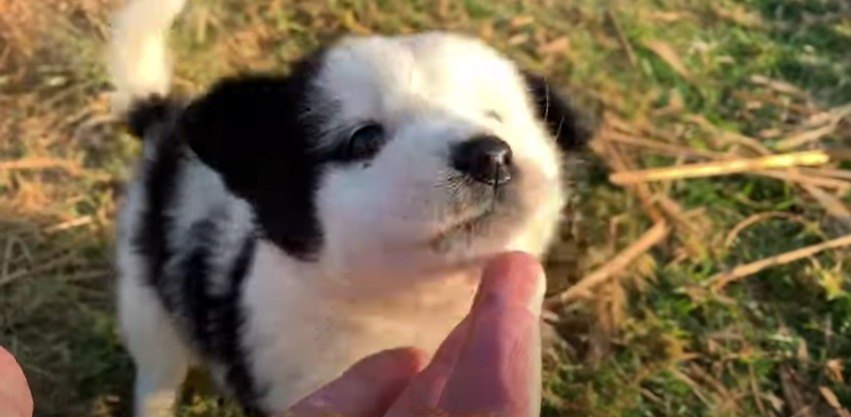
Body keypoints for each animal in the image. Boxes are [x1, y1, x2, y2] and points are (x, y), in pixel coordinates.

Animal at [110, 0, 592, 414]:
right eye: (364, 138)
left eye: (496, 117)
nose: (490, 157)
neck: (408, 310)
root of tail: (163, 122)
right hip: (146, 299)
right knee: (157, 370)